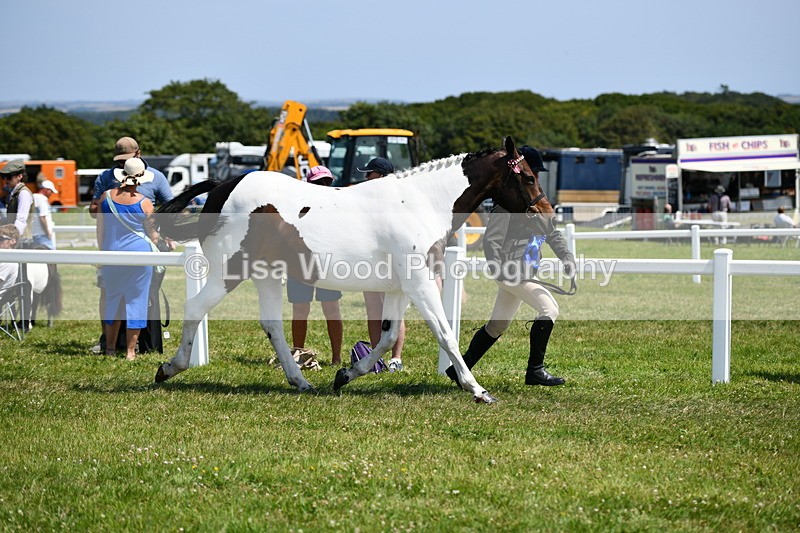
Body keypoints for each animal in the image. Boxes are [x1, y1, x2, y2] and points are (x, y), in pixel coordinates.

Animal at [154, 136, 554, 403]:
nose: (549, 217)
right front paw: (478, 389)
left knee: (272, 326)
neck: (421, 204)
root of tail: (222, 186)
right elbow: (446, 334)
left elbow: (388, 336)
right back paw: (169, 368)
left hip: (266, 273)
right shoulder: (421, 284)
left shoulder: (400, 288)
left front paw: (346, 374)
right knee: (195, 308)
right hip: (230, 270)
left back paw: (300, 381)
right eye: (527, 178)